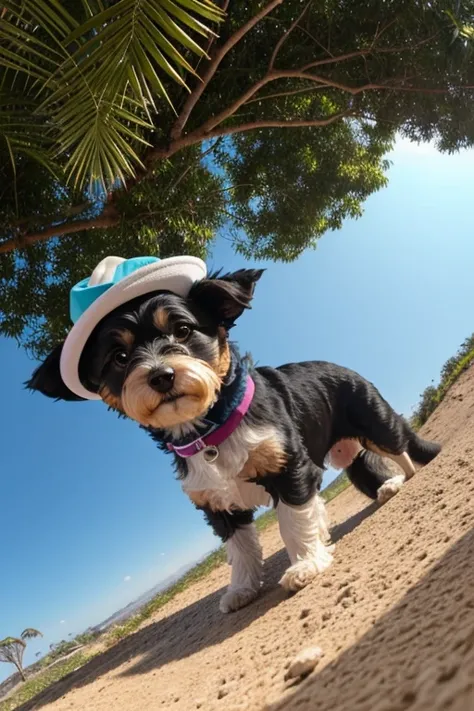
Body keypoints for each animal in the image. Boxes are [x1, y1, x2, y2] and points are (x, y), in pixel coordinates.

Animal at [26, 266, 440, 612]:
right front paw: (242, 588)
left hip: (376, 423)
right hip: (347, 451)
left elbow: (293, 521)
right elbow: (240, 550)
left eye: (183, 330)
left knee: (401, 448)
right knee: (367, 467)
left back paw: (407, 477)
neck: (211, 428)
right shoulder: (215, 504)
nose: (161, 375)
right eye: (120, 356)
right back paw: (387, 485)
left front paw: (307, 562)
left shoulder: (289, 466)